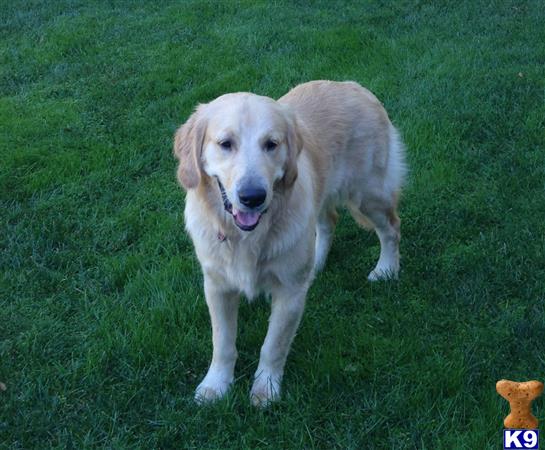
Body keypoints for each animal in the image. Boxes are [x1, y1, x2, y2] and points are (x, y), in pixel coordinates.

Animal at [172, 79, 406, 406]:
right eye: (225, 143)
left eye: (272, 144)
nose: (253, 196)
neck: (247, 236)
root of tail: (351, 84)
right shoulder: (217, 286)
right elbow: (223, 342)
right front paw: (216, 384)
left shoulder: (290, 293)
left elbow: (273, 345)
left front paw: (266, 390)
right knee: (328, 221)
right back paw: (317, 264)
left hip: (368, 194)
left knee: (391, 228)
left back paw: (386, 269)